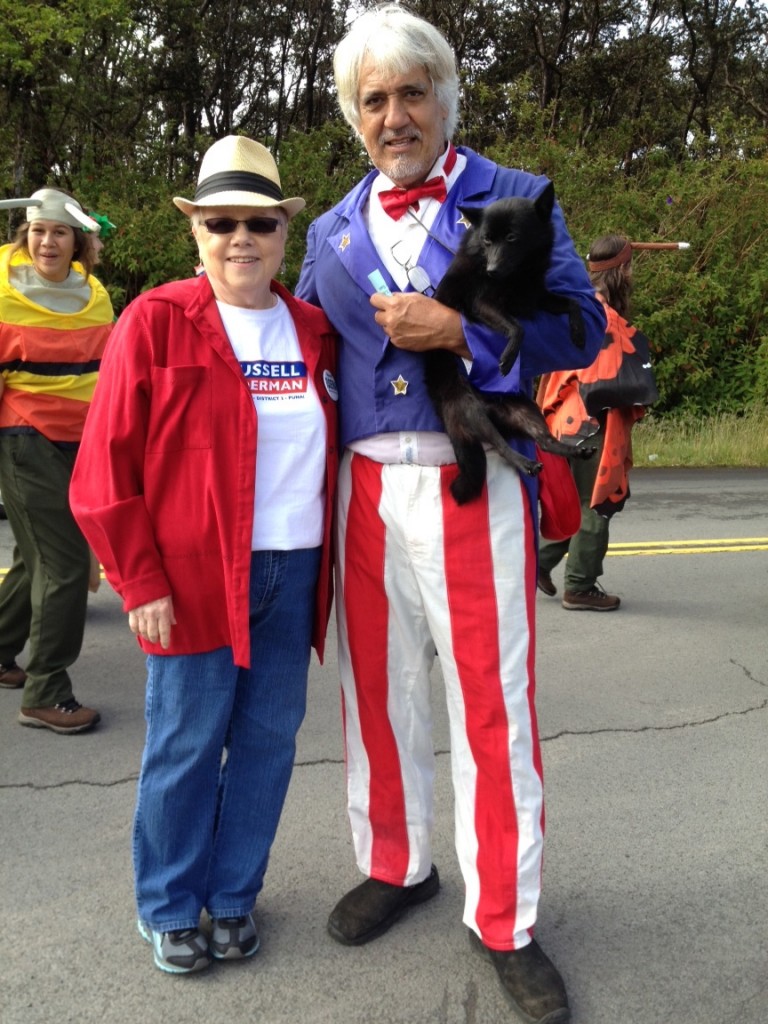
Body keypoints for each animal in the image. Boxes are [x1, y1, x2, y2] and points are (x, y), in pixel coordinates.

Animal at [428, 186, 593, 505]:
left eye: (512, 237)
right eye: (487, 240)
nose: (491, 270)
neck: (520, 274)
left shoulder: (536, 296)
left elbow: (573, 302)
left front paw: (579, 333)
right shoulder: (483, 303)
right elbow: (517, 327)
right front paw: (506, 358)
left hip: (526, 410)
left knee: (546, 440)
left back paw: (574, 450)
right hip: (473, 414)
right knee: (502, 447)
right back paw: (525, 462)